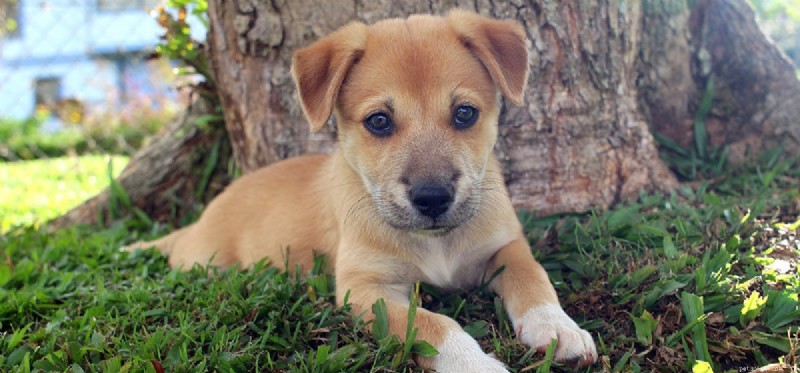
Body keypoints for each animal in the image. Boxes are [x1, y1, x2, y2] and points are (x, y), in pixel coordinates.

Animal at [128, 10, 596, 370]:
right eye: (379, 121)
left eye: (465, 113)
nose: (432, 198)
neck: (435, 244)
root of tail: (202, 218)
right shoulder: (366, 289)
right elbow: (433, 324)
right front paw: (474, 363)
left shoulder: (506, 247)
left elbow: (534, 278)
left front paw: (557, 327)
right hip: (203, 261)